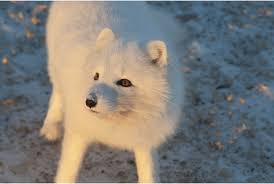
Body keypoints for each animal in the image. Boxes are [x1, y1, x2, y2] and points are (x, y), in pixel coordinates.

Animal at [39, 1, 183, 183]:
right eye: (96, 76)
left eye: (125, 82)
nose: (89, 101)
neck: (117, 119)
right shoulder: (78, 131)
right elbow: (68, 171)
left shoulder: (145, 137)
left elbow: (149, 172)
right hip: (54, 66)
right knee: (57, 94)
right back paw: (51, 126)